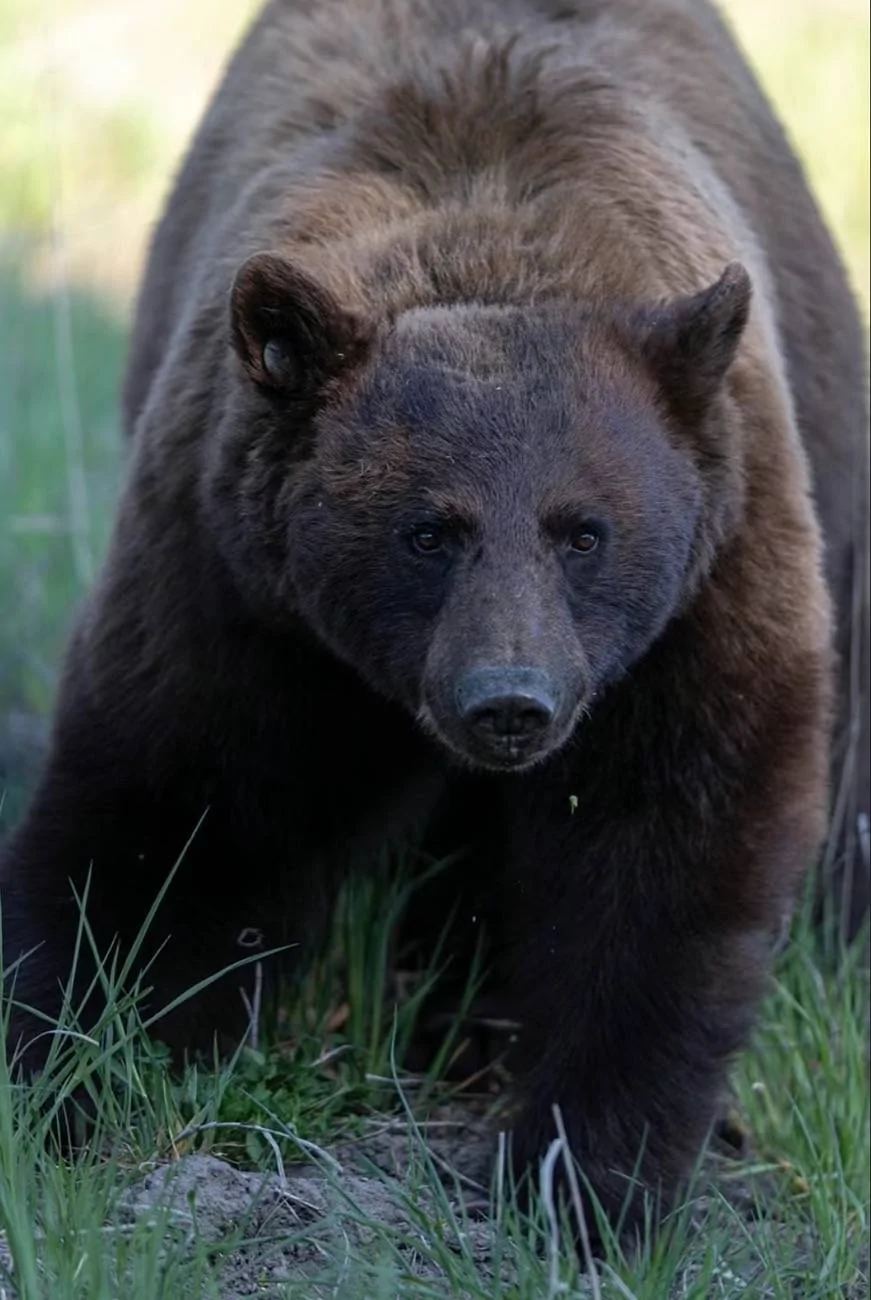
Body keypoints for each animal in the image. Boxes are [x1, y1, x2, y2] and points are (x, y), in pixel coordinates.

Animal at [2, 0, 868, 1245]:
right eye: (428, 530)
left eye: (582, 529)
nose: (509, 701)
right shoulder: (240, 588)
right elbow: (176, 800)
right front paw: (65, 1075)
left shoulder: (704, 589)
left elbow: (663, 846)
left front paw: (576, 1174)